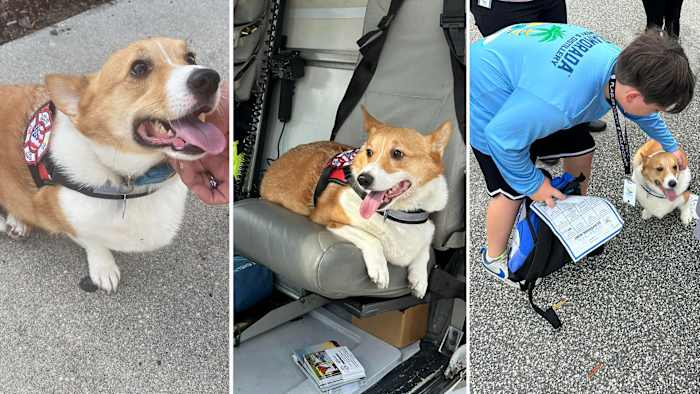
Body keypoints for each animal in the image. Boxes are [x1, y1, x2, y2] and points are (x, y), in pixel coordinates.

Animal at [0, 37, 226, 292]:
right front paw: (104, 269)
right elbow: (94, 243)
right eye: (139, 68)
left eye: (191, 57)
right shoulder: (68, 219)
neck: (124, 177)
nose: (210, 78)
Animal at [260, 106, 452, 298]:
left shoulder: (427, 230)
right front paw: (380, 270)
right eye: (369, 152)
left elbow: (425, 251)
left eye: (397, 153)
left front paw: (420, 279)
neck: (399, 215)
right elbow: (371, 238)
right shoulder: (327, 219)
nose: (363, 179)